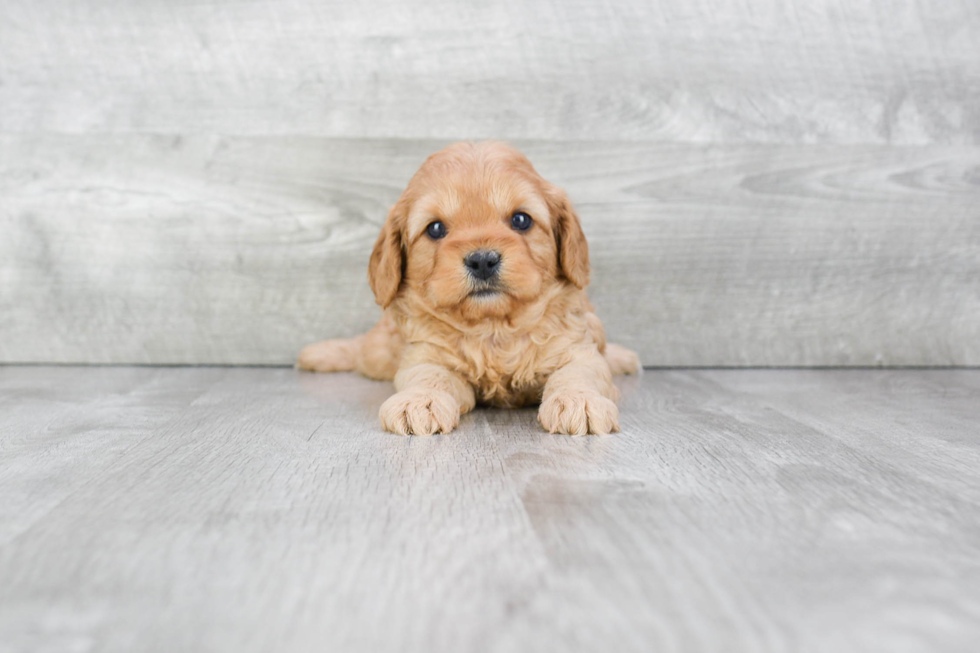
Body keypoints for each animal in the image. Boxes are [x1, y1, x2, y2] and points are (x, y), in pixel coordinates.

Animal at [294, 141, 640, 436]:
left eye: (521, 220)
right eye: (435, 228)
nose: (483, 260)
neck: (493, 329)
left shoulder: (575, 348)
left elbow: (581, 373)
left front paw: (579, 400)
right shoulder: (425, 355)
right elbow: (428, 376)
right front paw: (418, 401)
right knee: (363, 349)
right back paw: (318, 353)